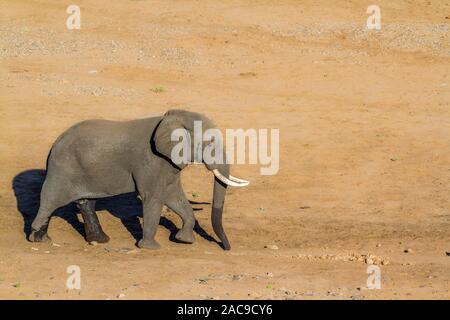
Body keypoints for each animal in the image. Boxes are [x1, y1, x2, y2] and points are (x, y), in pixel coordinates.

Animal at [29, 110, 250, 250]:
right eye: (210, 142)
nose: (226, 248)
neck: (172, 119)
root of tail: (54, 145)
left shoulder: (168, 162)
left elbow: (174, 196)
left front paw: (184, 241)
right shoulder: (150, 160)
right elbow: (153, 197)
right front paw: (151, 248)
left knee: (86, 202)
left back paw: (100, 240)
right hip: (62, 168)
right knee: (50, 201)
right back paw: (39, 240)